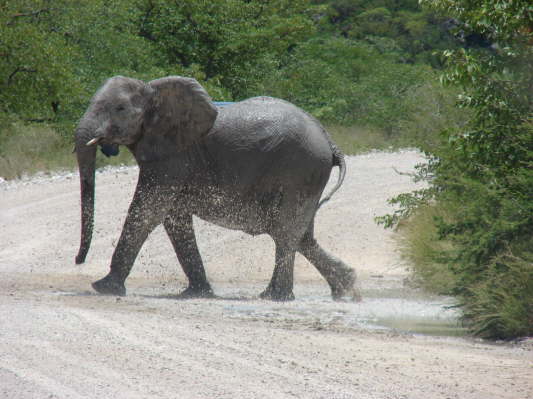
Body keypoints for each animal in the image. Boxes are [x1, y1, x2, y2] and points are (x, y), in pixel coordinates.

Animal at [75, 75, 360, 302]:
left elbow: (147, 211)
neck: (154, 90)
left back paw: (275, 297)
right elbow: (174, 219)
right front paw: (196, 294)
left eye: (120, 108)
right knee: (300, 235)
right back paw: (346, 290)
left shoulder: (174, 156)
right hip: (308, 175)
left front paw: (103, 288)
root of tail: (330, 141)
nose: (78, 261)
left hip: (300, 169)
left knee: (286, 231)